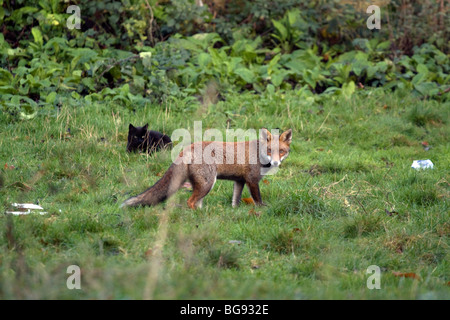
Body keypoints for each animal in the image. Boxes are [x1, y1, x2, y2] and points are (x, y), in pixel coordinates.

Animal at [121, 129, 294, 209]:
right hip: (208, 183)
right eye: (270, 151)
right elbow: (258, 199)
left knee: (196, 202)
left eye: (281, 151)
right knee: (190, 202)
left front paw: (235, 211)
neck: (258, 154)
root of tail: (187, 147)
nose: (276, 163)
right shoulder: (252, 180)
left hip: (202, 184)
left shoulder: (239, 181)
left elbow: (235, 201)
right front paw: (261, 211)